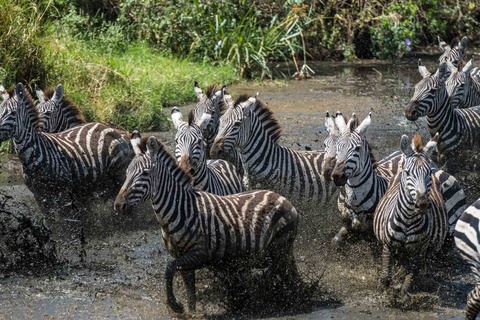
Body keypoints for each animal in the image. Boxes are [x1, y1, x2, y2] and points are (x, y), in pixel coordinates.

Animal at [114, 134, 298, 314]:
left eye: (145, 173)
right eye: (127, 173)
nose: (118, 205)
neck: (181, 209)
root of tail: (283, 198)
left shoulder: (198, 254)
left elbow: (168, 270)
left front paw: (175, 305)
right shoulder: (182, 258)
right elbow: (190, 294)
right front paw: (190, 313)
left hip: (279, 249)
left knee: (288, 277)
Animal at [374, 133, 448, 292]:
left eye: (428, 173)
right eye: (408, 173)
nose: (422, 204)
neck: (408, 219)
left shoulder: (419, 251)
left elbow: (409, 281)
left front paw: (400, 293)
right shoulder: (387, 246)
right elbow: (385, 277)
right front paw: (385, 291)